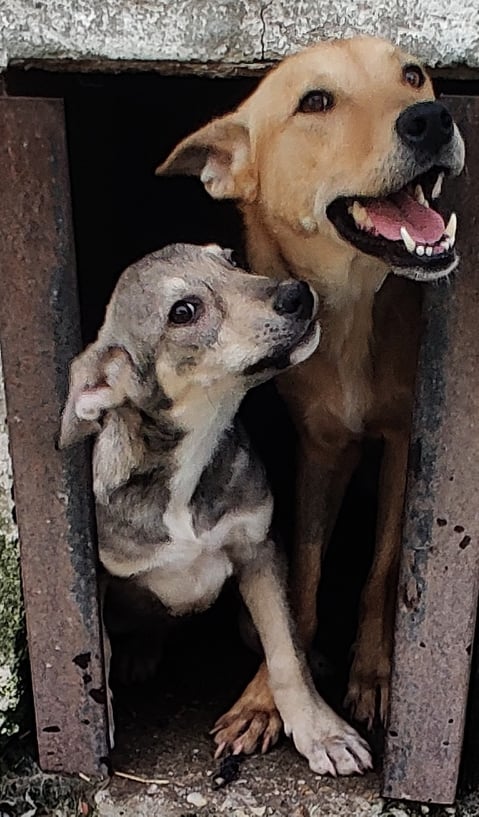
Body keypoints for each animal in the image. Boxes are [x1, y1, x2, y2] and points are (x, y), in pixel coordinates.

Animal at [158, 36, 464, 752]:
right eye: (316, 101)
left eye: (413, 75)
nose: (431, 119)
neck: (352, 312)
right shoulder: (319, 451)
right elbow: (301, 577)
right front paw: (266, 698)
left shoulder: (402, 446)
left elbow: (383, 568)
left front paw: (373, 676)